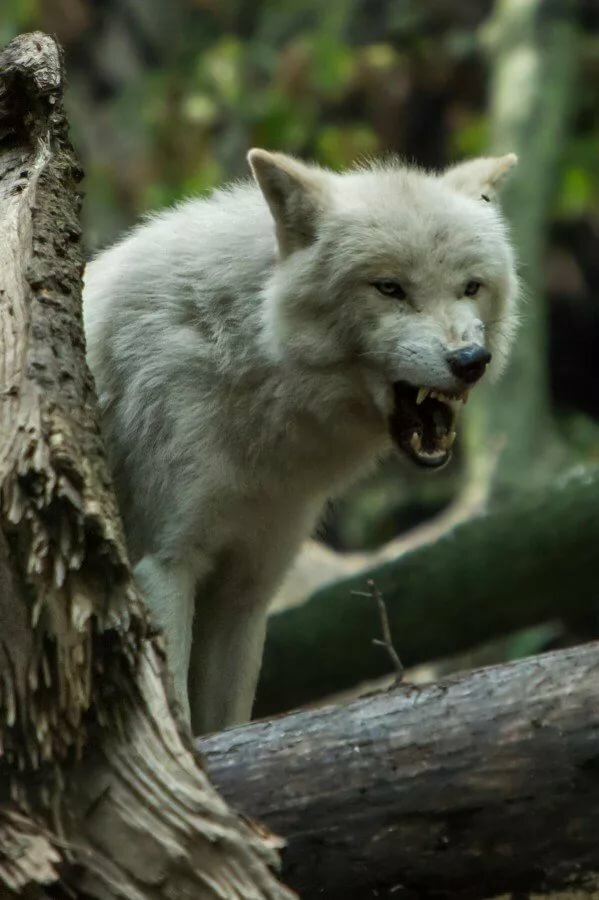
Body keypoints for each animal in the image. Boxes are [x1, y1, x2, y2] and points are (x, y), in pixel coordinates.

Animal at [83, 149, 519, 734]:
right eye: (389, 288)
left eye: (470, 287)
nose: (471, 361)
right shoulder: (164, 566)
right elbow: (178, 717)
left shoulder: (247, 591)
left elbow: (229, 724)